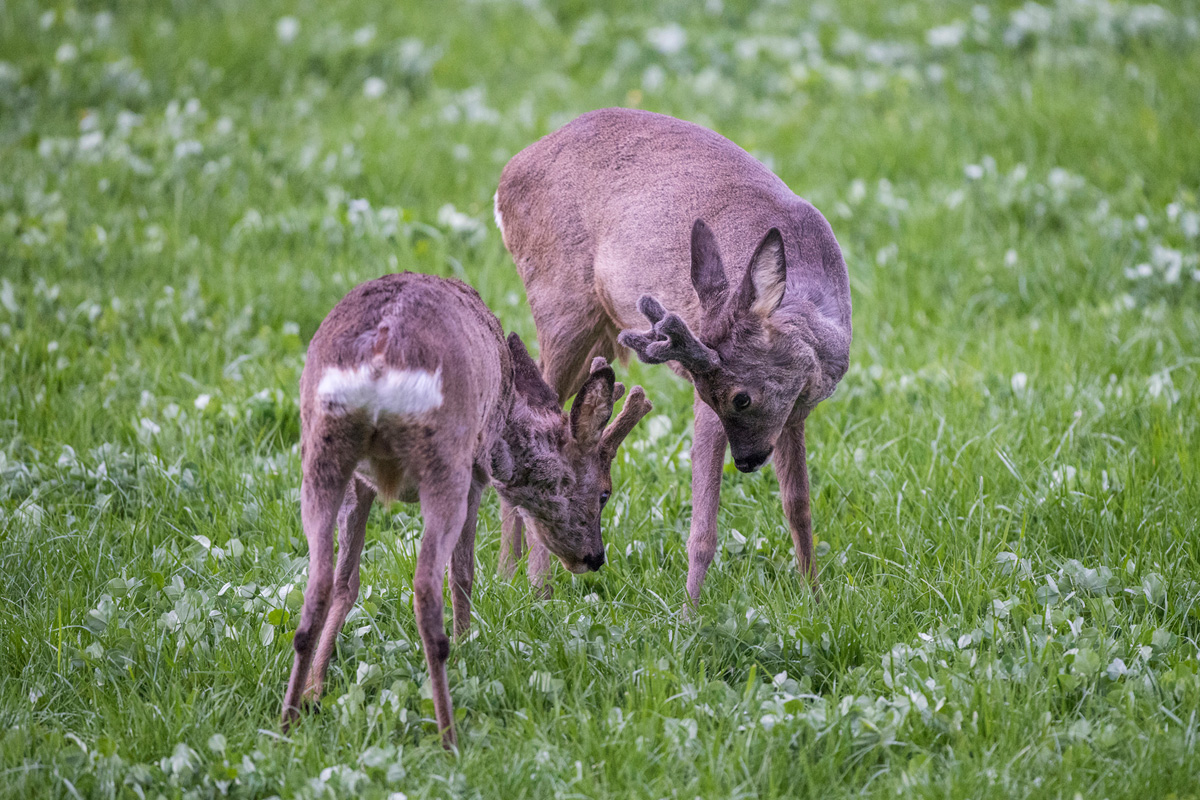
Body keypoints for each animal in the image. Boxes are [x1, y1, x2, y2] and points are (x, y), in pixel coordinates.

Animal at [282, 272, 652, 748]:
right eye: (605, 492)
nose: (594, 557)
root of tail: (381, 354)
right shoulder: (479, 470)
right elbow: (463, 573)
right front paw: (466, 647)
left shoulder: (363, 484)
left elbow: (348, 583)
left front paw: (317, 689)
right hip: (447, 459)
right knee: (426, 586)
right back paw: (448, 733)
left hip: (322, 450)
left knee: (317, 586)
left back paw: (288, 721)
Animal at [494, 106, 854, 606]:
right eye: (731, 397)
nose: (746, 462)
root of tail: (505, 177)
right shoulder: (709, 408)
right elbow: (703, 526)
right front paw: (690, 612)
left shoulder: (793, 414)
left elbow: (798, 505)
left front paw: (814, 596)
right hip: (560, 305)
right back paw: (533, 586)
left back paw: (508, 579)